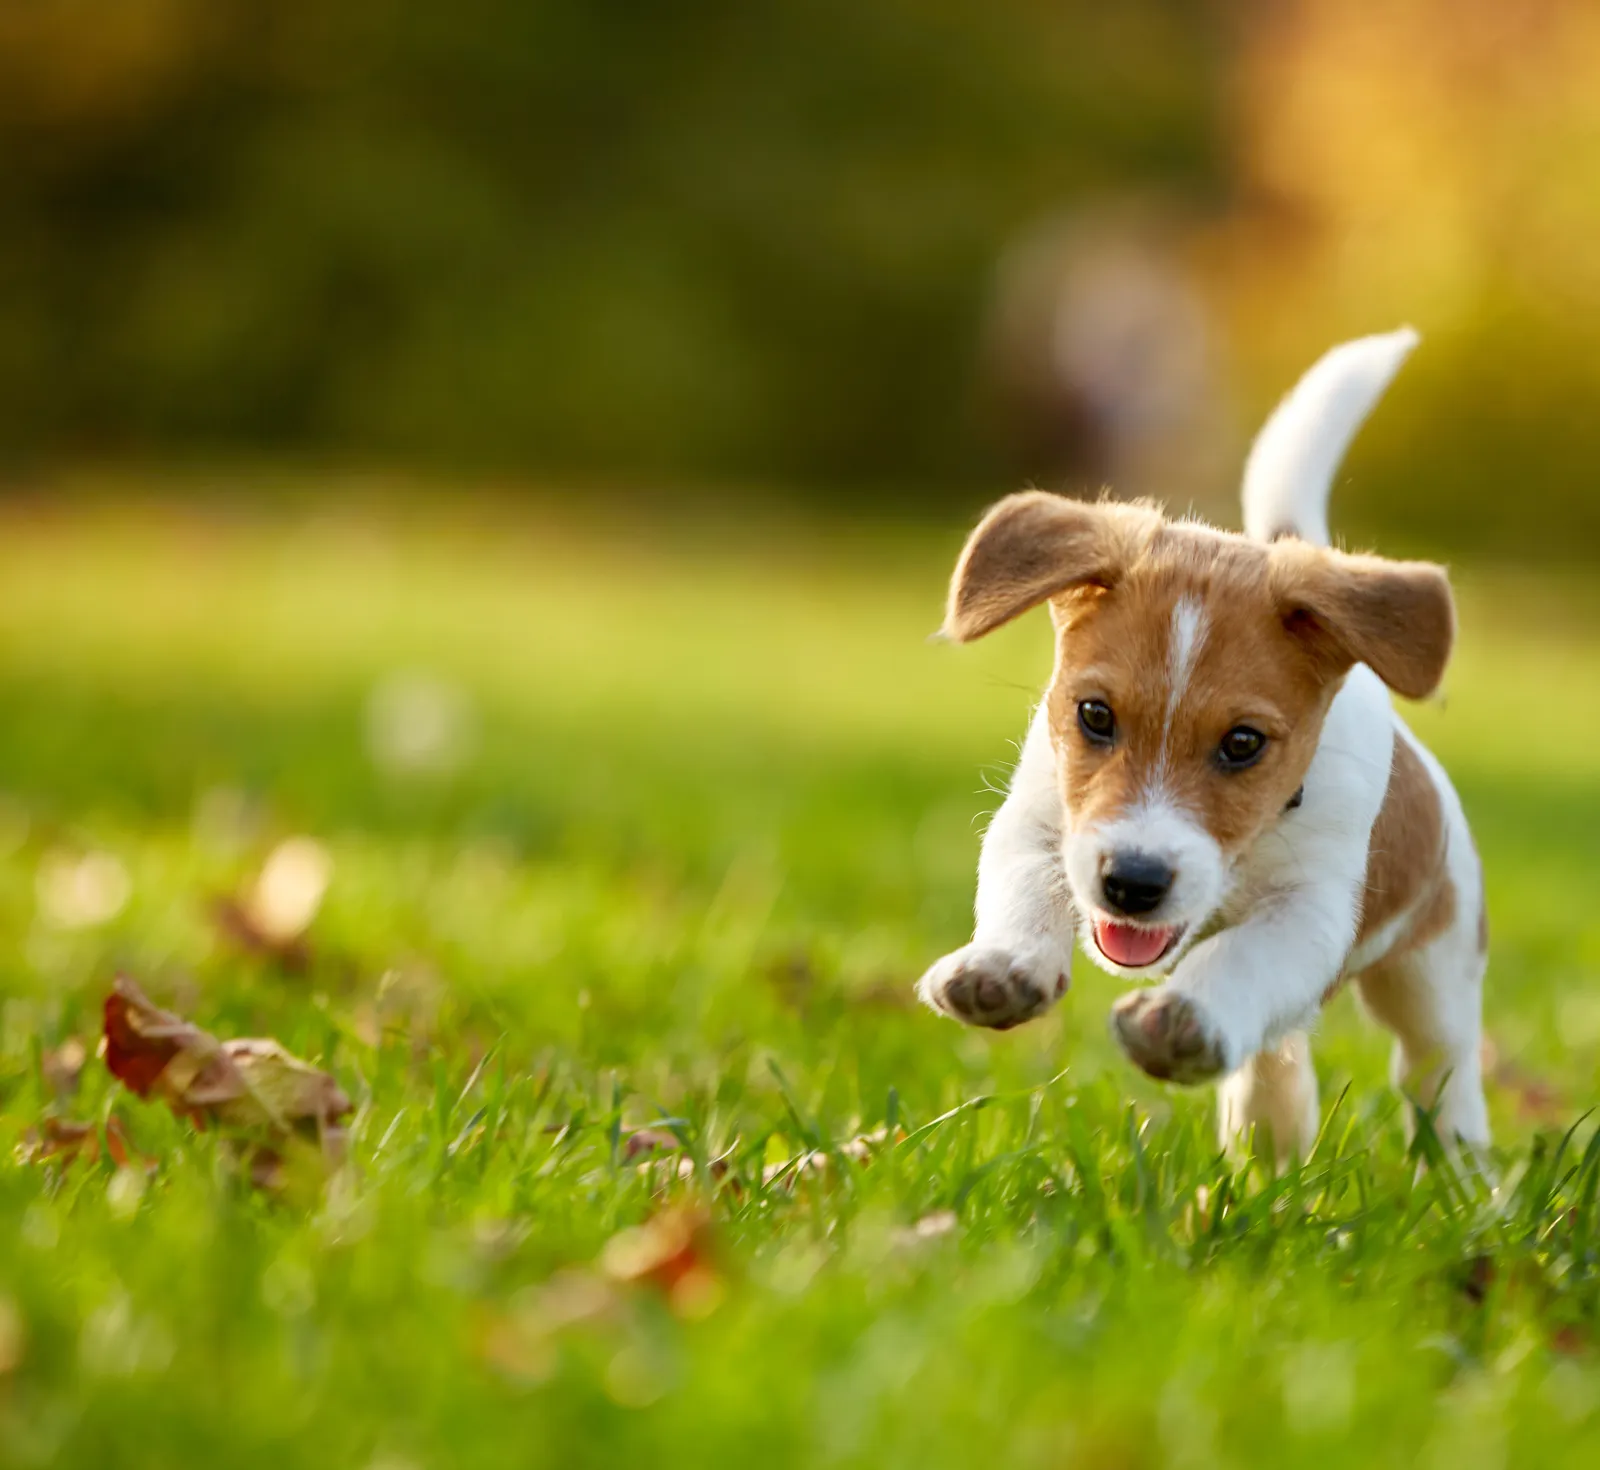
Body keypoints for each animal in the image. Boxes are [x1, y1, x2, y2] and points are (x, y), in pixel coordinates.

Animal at [921, 331, 1491, 1158]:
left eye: (1244, 743)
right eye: (1094, 715)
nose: (1132, 883)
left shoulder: (1311, 913)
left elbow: (1241, 959)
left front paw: (1183, 1020)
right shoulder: (1037, 823)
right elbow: (1022, 890)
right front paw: (1003, 964)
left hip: (1436, 977)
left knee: (1441, 1074)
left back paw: (1461, 1173)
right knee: (1274, 1063)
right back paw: (1267, 1159)